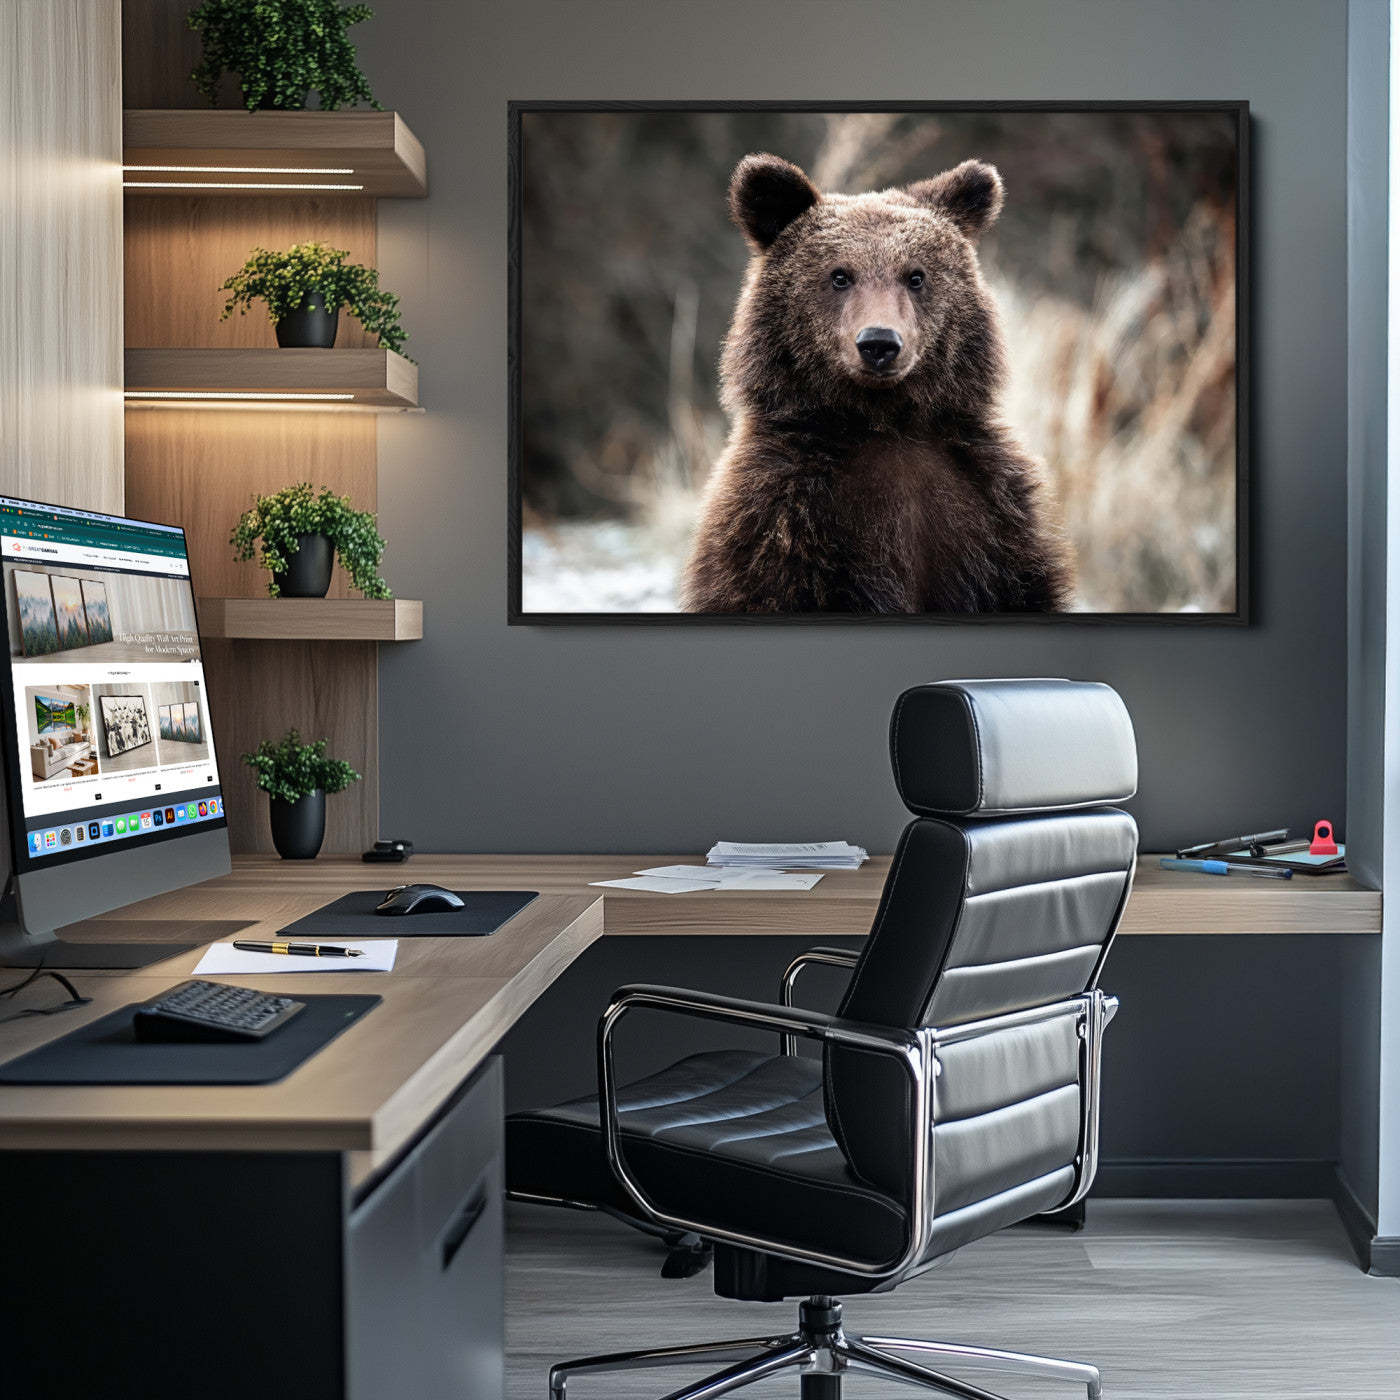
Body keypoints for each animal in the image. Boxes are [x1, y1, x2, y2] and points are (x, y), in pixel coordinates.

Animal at [679, 153, 1075, 614]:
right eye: (839, 275)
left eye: (916, 276)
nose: (879, 343)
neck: (883, 421)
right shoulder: (781, 521)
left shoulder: (992, 517)